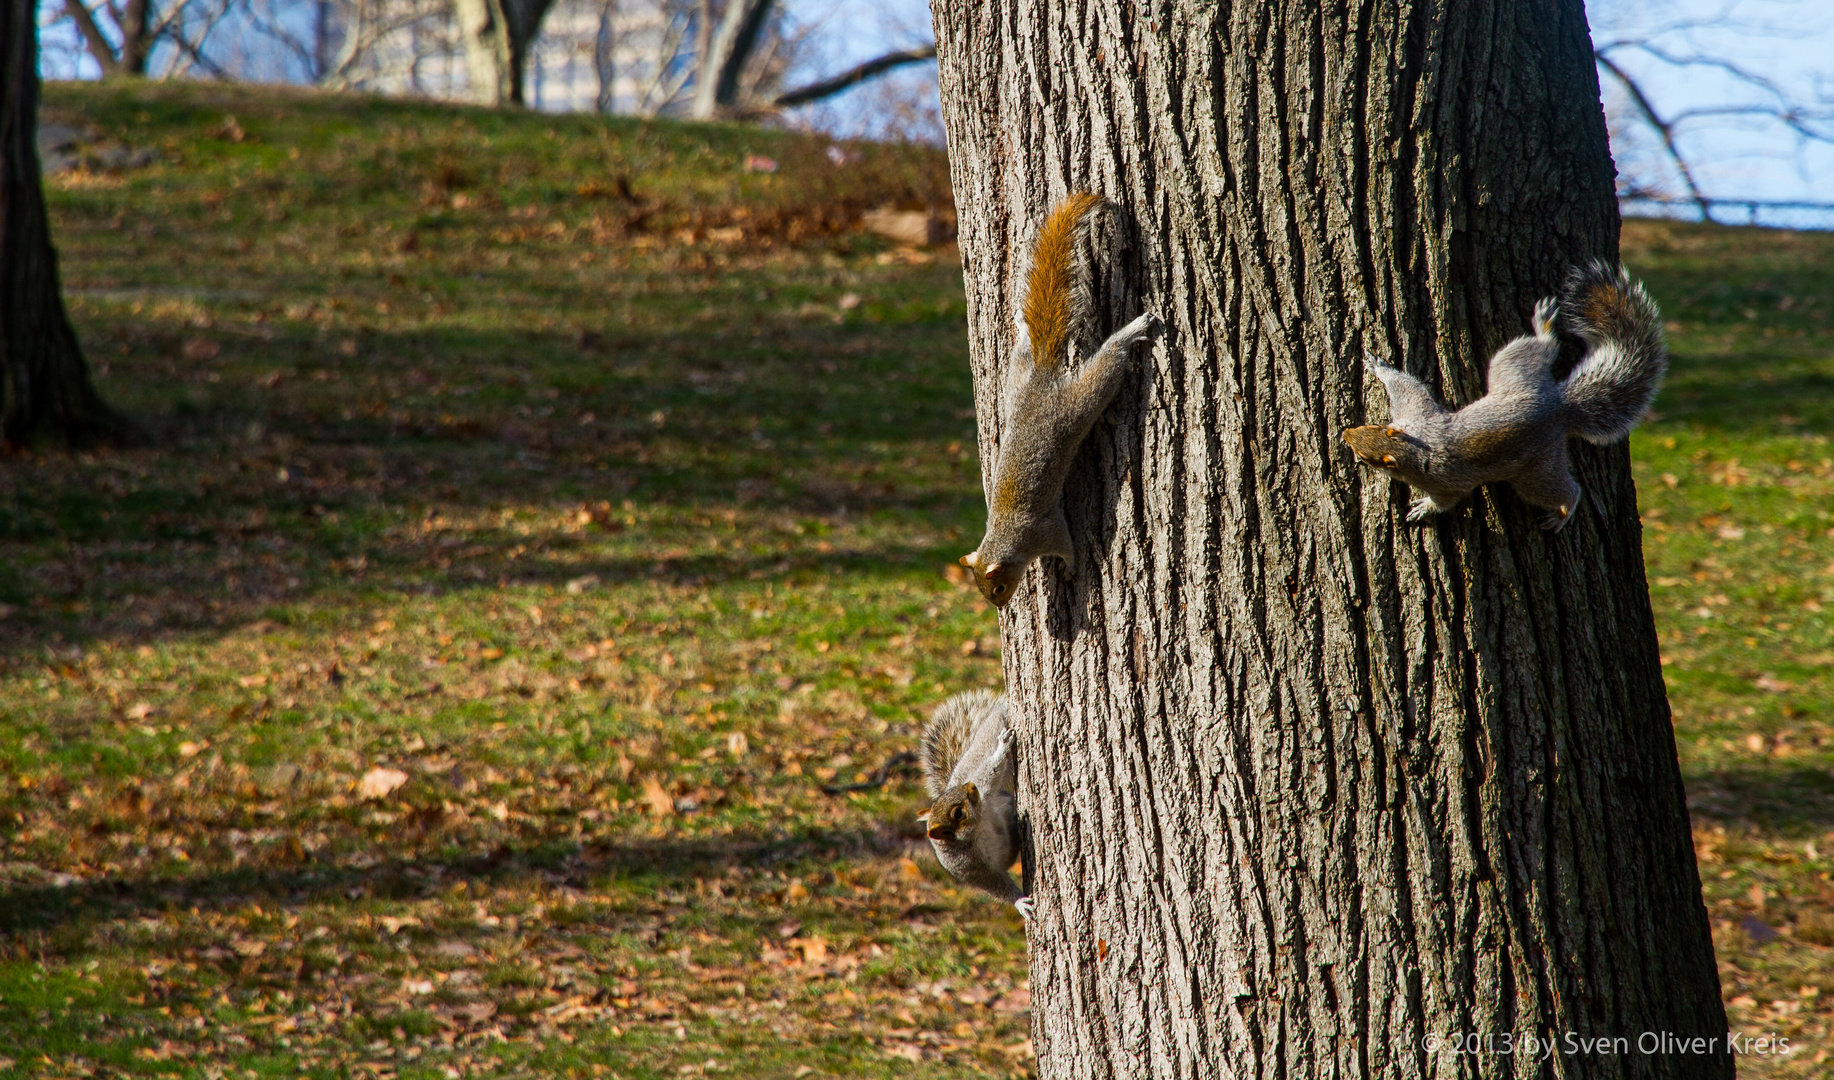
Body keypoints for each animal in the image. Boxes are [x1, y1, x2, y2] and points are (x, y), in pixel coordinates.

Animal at [917, 689, 1034, 916]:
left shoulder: (985, 793)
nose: (971, 786)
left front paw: (1003, 747)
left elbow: (992, 769)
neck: (977, 826)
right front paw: (1020, 902)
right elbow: (995, 885)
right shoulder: (970, 869)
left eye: (955, 791)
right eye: (957, 813)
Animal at [953, 191, 1166, 605]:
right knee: (1022, 352)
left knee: (1107, 365)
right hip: (1015, 381)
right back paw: (1023, 329)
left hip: (1076, 405)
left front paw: (1070, 568)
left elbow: (1067, 546)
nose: (1000, 605)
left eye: (998, 587)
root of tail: (1041, 380)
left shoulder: (1046, 530)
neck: (1006, 537)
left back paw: (1129, 333)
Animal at [1342, 260, 1672, 531]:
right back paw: (1545, 326)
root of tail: (1558, 407)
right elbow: (1409, 388)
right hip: (1514, 371)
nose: (1346, 433)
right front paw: (1381, 368)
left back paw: (1563, 512)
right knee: (1541, 350)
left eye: (1367, 458)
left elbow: (1447, 499)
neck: (1413, 450)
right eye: (1375, 426)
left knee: (1564, 490)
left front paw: (1424, 509)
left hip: (1538, 470)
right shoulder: (1416, 417)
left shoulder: (1442, 478)